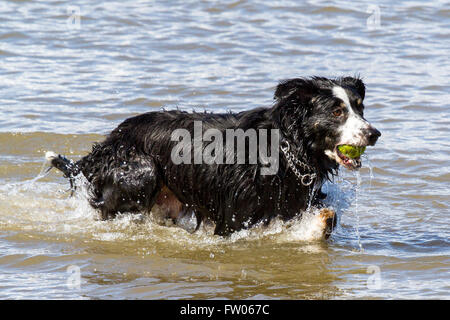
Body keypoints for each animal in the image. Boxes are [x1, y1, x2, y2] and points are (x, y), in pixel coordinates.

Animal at [46, 76, 380, 238]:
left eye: (360, 107)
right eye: (337, 112)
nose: (374, 133)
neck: (285, 148)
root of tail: (107, 142)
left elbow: (324, 214)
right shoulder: (233, 217)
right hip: (140, 171)